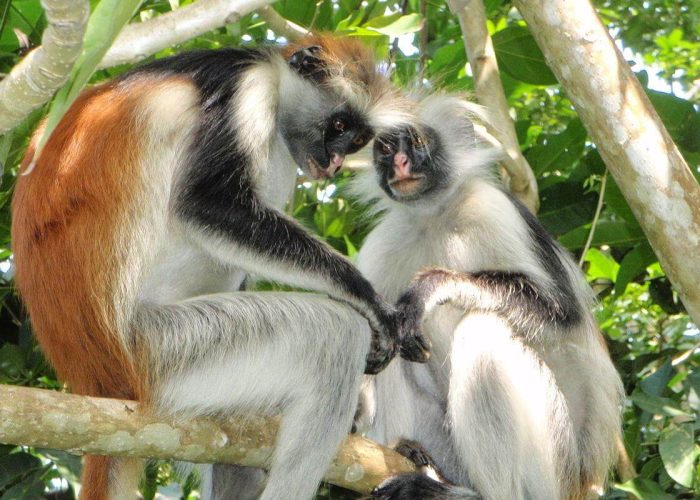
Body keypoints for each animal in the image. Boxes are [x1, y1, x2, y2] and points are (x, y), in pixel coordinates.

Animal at [11, 35, 427, 500]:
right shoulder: (246, 89)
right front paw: (369, 301)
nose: (336, 164)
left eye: (356, 141)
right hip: (164, 349)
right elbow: (207, 202)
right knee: (335, 337)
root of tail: (97, 378)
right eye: (337, 127)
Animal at [352, 95, 624, 500]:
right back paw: (417, 459)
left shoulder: (493, 207)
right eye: (385, 149)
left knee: (484, 331)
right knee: (397, 346)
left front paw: (434, 287)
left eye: (418, 143)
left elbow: (563, 316)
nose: (399, 163)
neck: (435, 216)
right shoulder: (384, 242)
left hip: (553, 461)